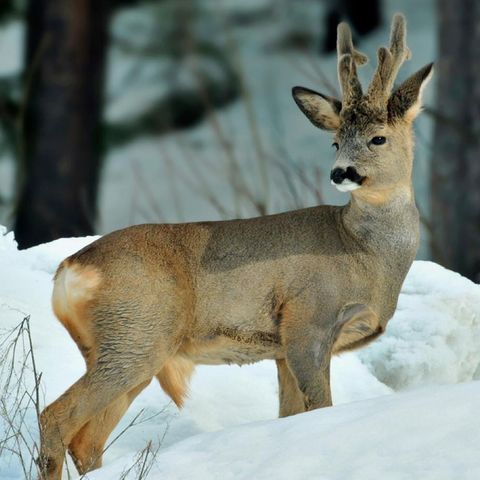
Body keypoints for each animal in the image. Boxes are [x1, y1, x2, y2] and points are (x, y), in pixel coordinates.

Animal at [39, 13, 434, 478]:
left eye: (378, 138)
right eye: (335, 142)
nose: (341, 172)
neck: (365, 254)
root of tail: (69, 270)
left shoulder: (281, 349)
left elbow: (290, 417)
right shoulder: (307, 321)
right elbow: (320, 408)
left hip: (126, 349)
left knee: (86, 440)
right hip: (135, 335)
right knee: (56, 417)